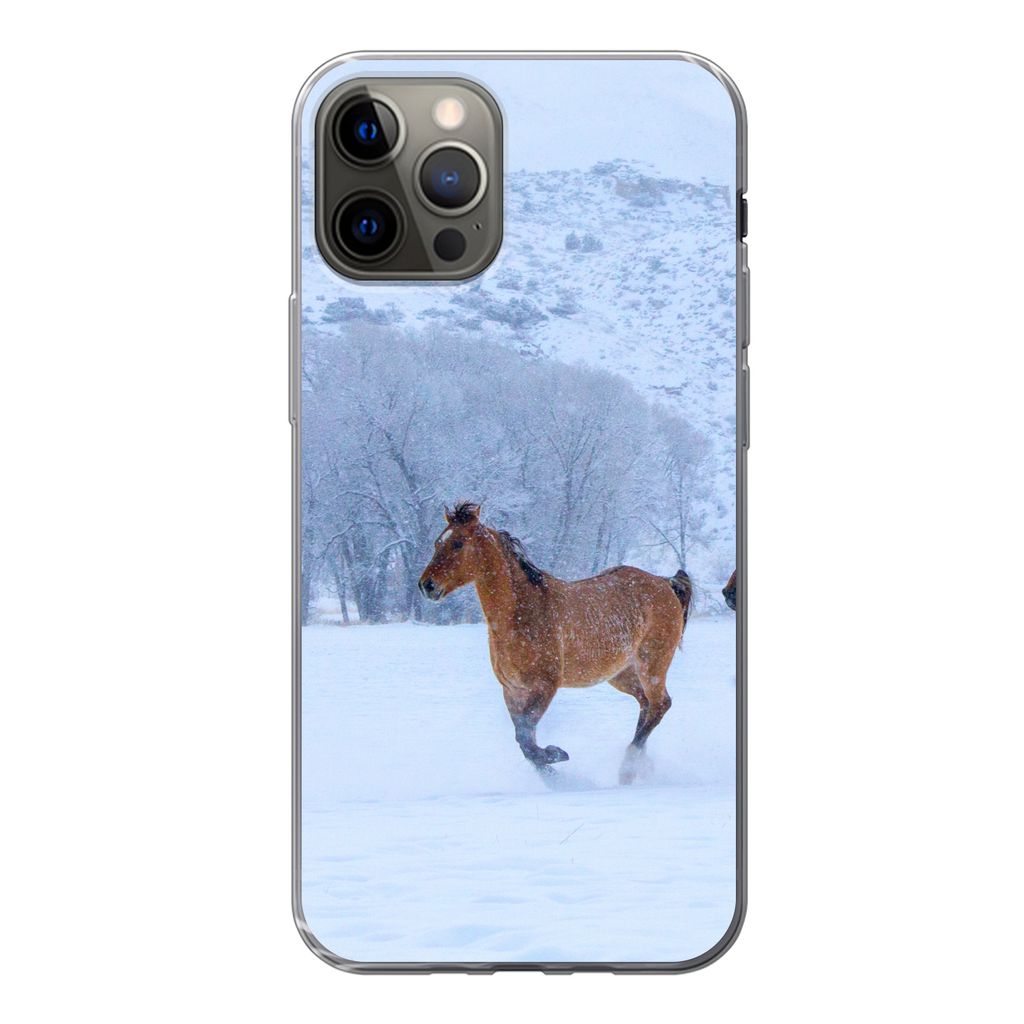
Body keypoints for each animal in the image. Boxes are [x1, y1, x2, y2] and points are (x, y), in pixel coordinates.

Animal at [418, 502, 692, 781]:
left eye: (458, 543)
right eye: (437, 543)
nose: (426, 585)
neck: (522, 613)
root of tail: (666, 583)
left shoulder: (545, 685)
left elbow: (525, 738)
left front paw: (557, 756)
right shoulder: (512, 690)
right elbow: (525, 740)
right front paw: (552, 769)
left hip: (652, 664)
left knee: (660, 704)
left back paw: (628, 767)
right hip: (621, 674)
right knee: (646, 704)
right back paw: (638, 767)